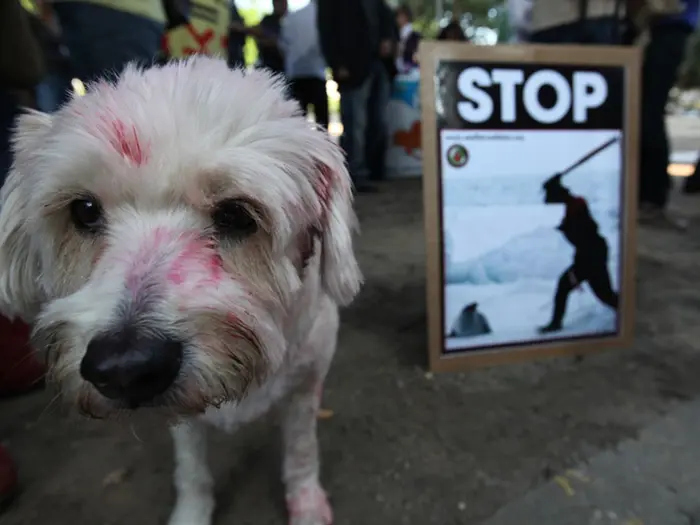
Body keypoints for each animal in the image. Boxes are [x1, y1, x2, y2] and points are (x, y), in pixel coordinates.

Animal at [0, 57, 360, 524]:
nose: (125, 368)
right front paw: (192, 512)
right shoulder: (183, 421)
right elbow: (191, 468)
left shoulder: (305, 386)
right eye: (84, 210)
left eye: (237, 215)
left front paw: (307, 504)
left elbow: (301, 452)